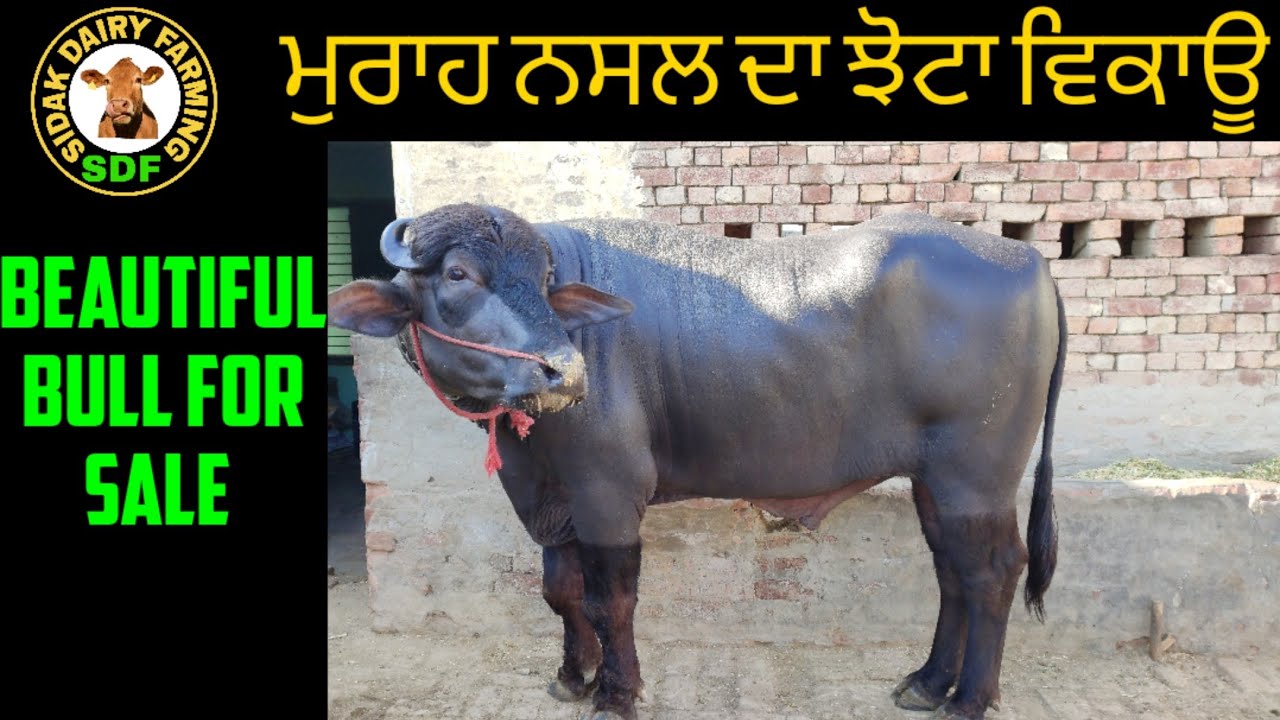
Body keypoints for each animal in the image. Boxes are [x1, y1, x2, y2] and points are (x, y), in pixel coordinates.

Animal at [327, 203, 1066, 720]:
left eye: (542, 278)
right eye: (457, 274)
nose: (563, 370)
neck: (527, 446)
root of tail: (1027, 258)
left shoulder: (607, 493)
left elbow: (609, 599)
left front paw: (616, 692)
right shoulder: (552, 501)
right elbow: (560, 591)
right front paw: (572, 677)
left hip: (977, 480)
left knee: (993, 572)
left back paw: (969, 699)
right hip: (934, 483)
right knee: (952, 573)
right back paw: (927, 682)